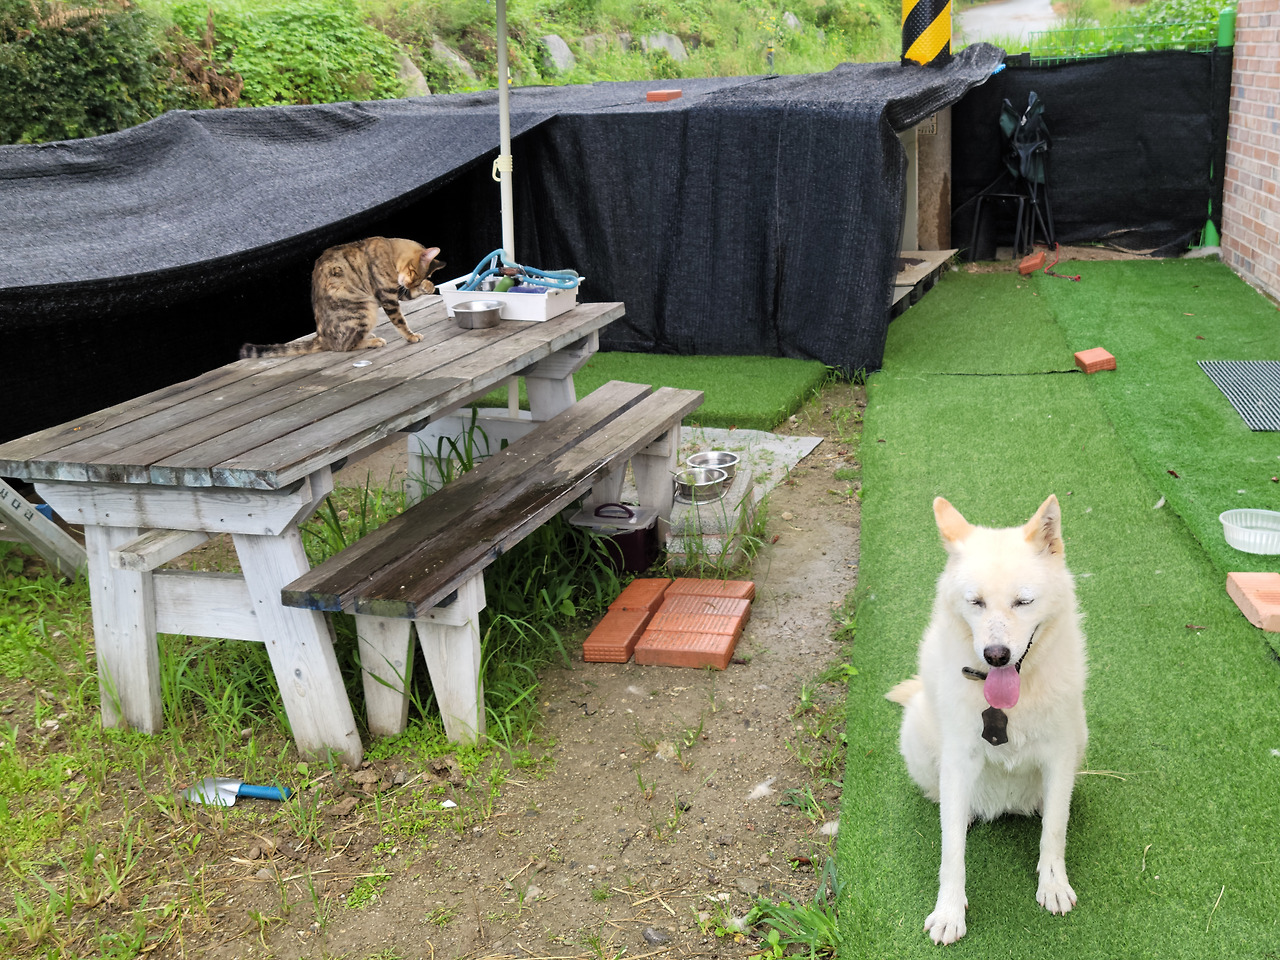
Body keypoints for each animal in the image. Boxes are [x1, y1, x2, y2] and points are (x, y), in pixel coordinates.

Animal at [239, 238, 445, 359]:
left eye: (417, 277)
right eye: (413, 273)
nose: (411, 284)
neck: (389, 249)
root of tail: (321, 337)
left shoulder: (397, 290)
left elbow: (410, 295)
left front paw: (428, 286)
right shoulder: (387, 295)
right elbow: (400, 322)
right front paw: (411, 336)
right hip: (364, 309)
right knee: (343, 346)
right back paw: (372, 341)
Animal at [887, 495, 1088, 945]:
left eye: (1023, 602)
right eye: (975, 602)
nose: (996, 655)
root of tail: (1004, 806)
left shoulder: (1060, 755)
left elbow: (1055, 830)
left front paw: (1052, 884)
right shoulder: (959, 762)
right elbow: (951, 854)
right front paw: (948, 911)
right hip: (917, 733)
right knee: (947, 805)